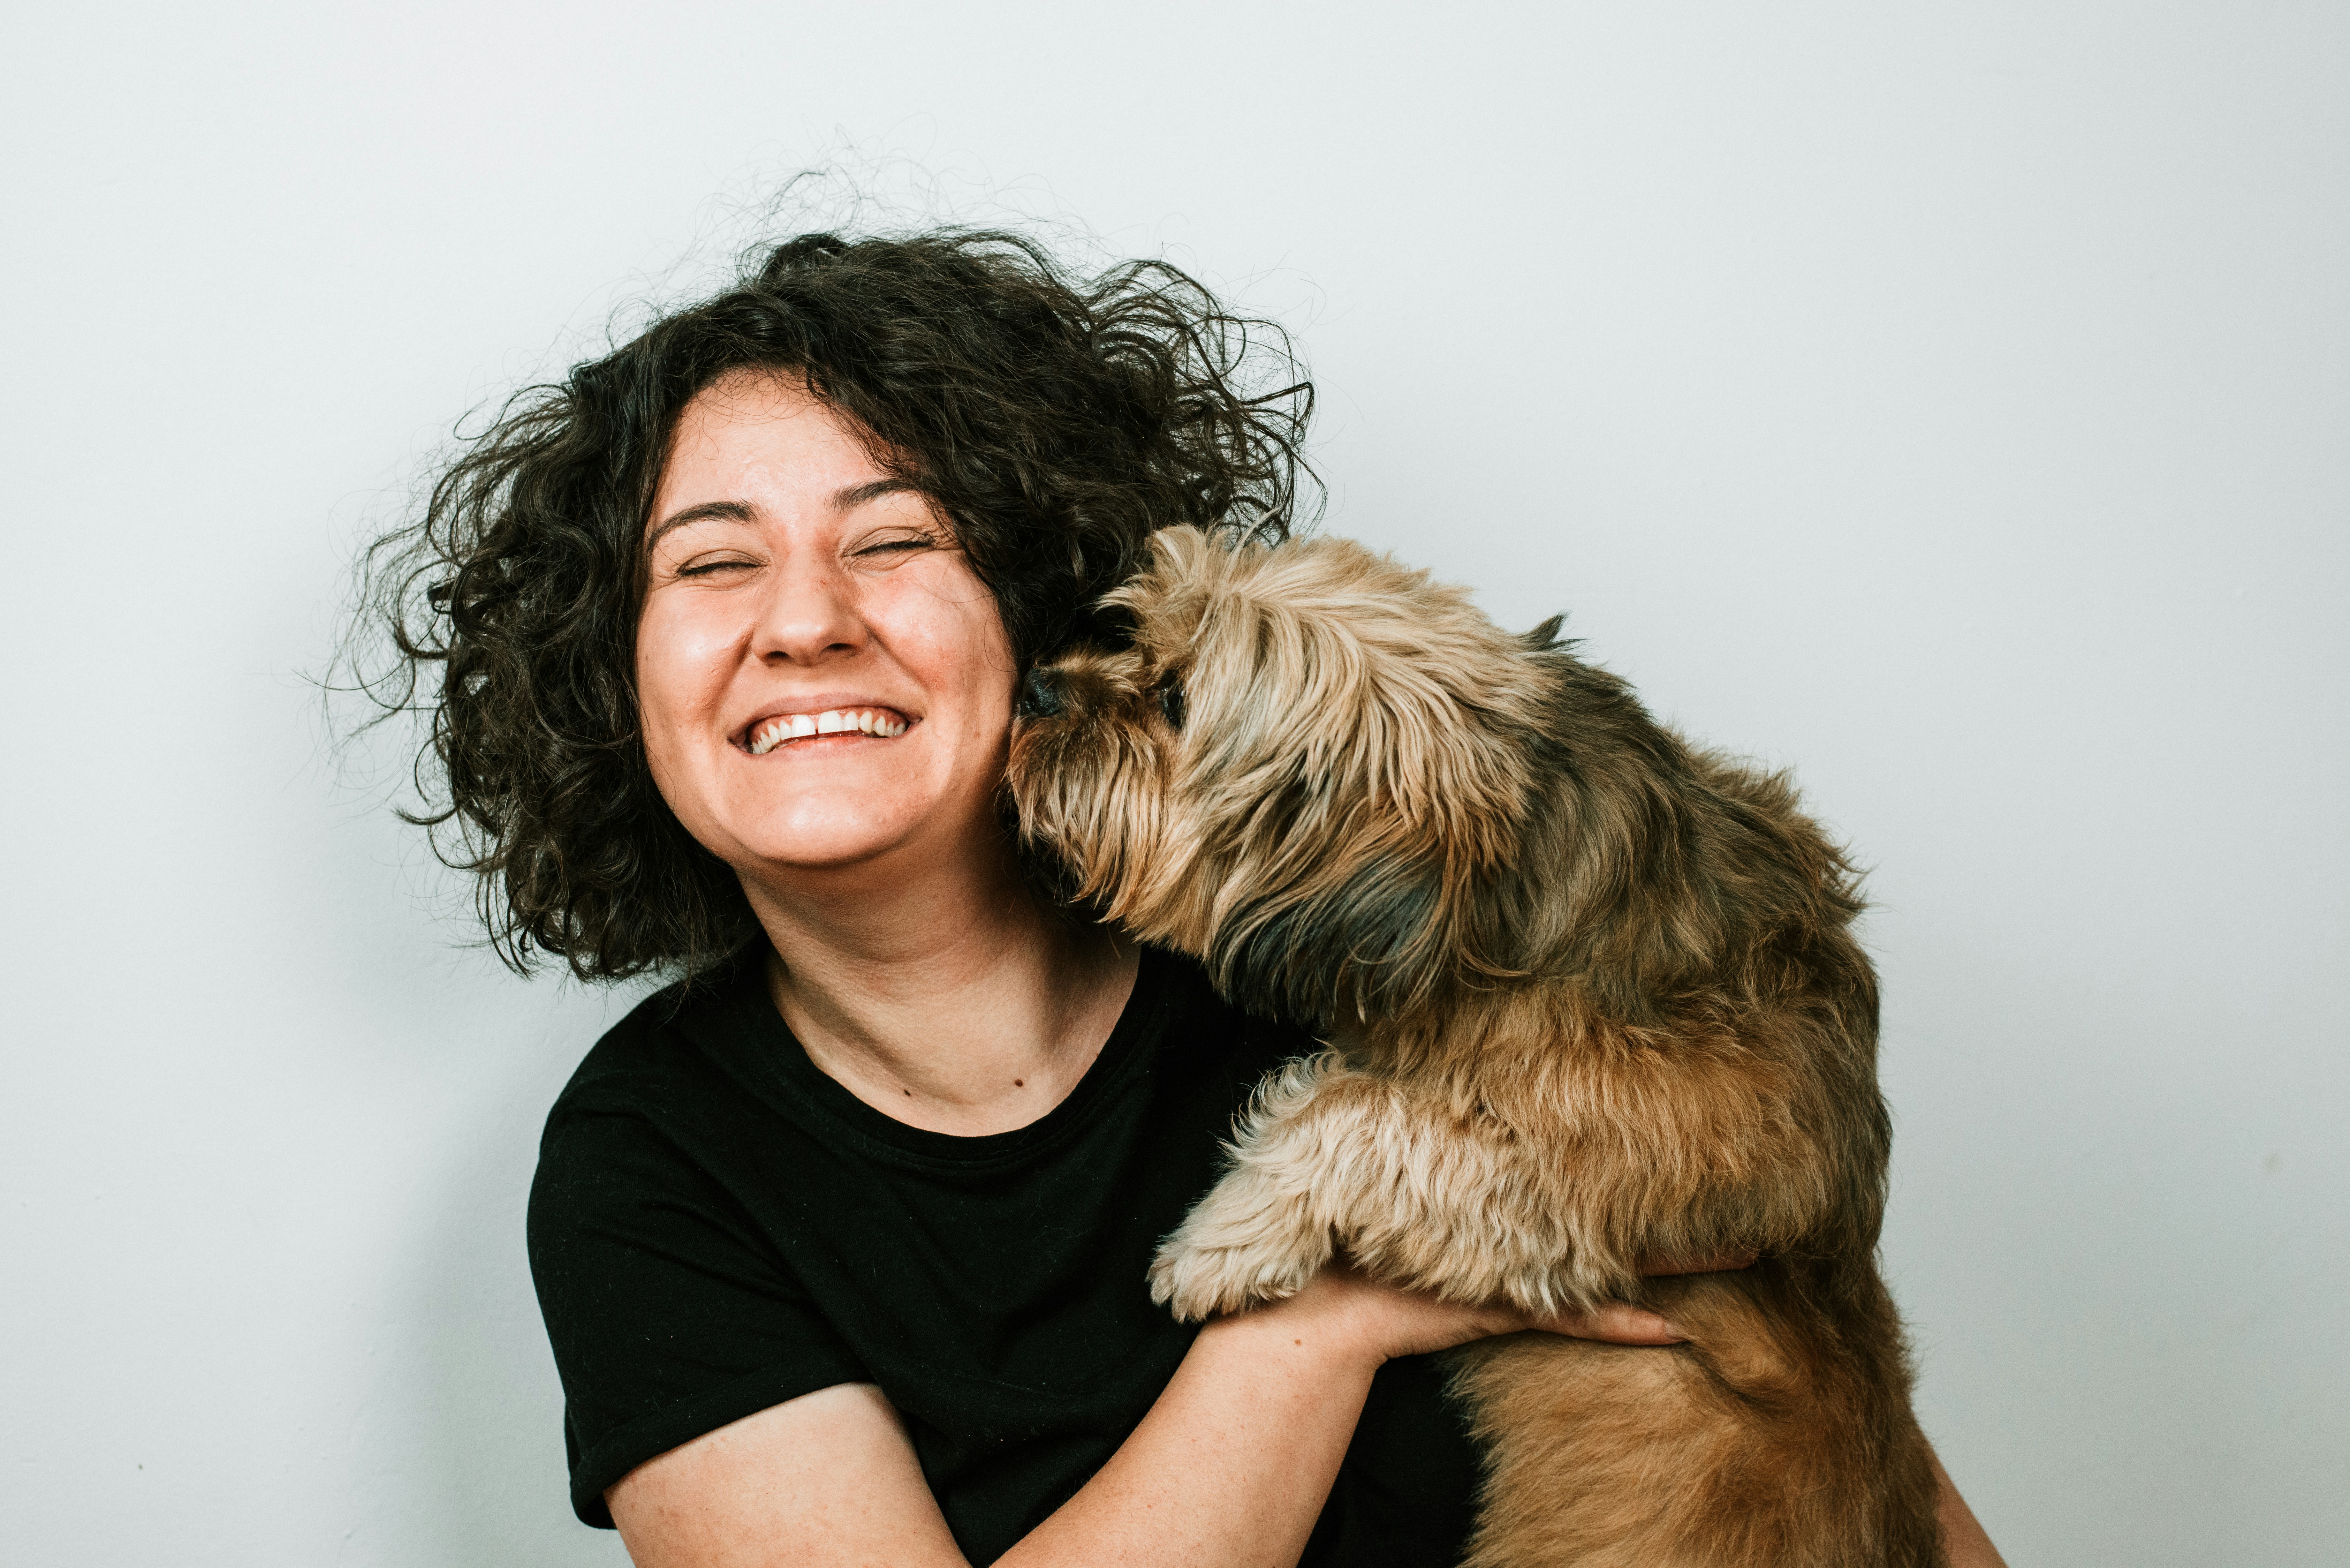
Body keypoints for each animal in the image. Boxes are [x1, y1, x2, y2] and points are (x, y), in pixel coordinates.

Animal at [1010, 526, 1946, 1568]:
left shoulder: (1624, 1165)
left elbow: (1361, 1110)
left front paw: (1222, 1237)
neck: (1501, 901)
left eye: (1174, 700)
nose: (1037, 687)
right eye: (1130, 633)